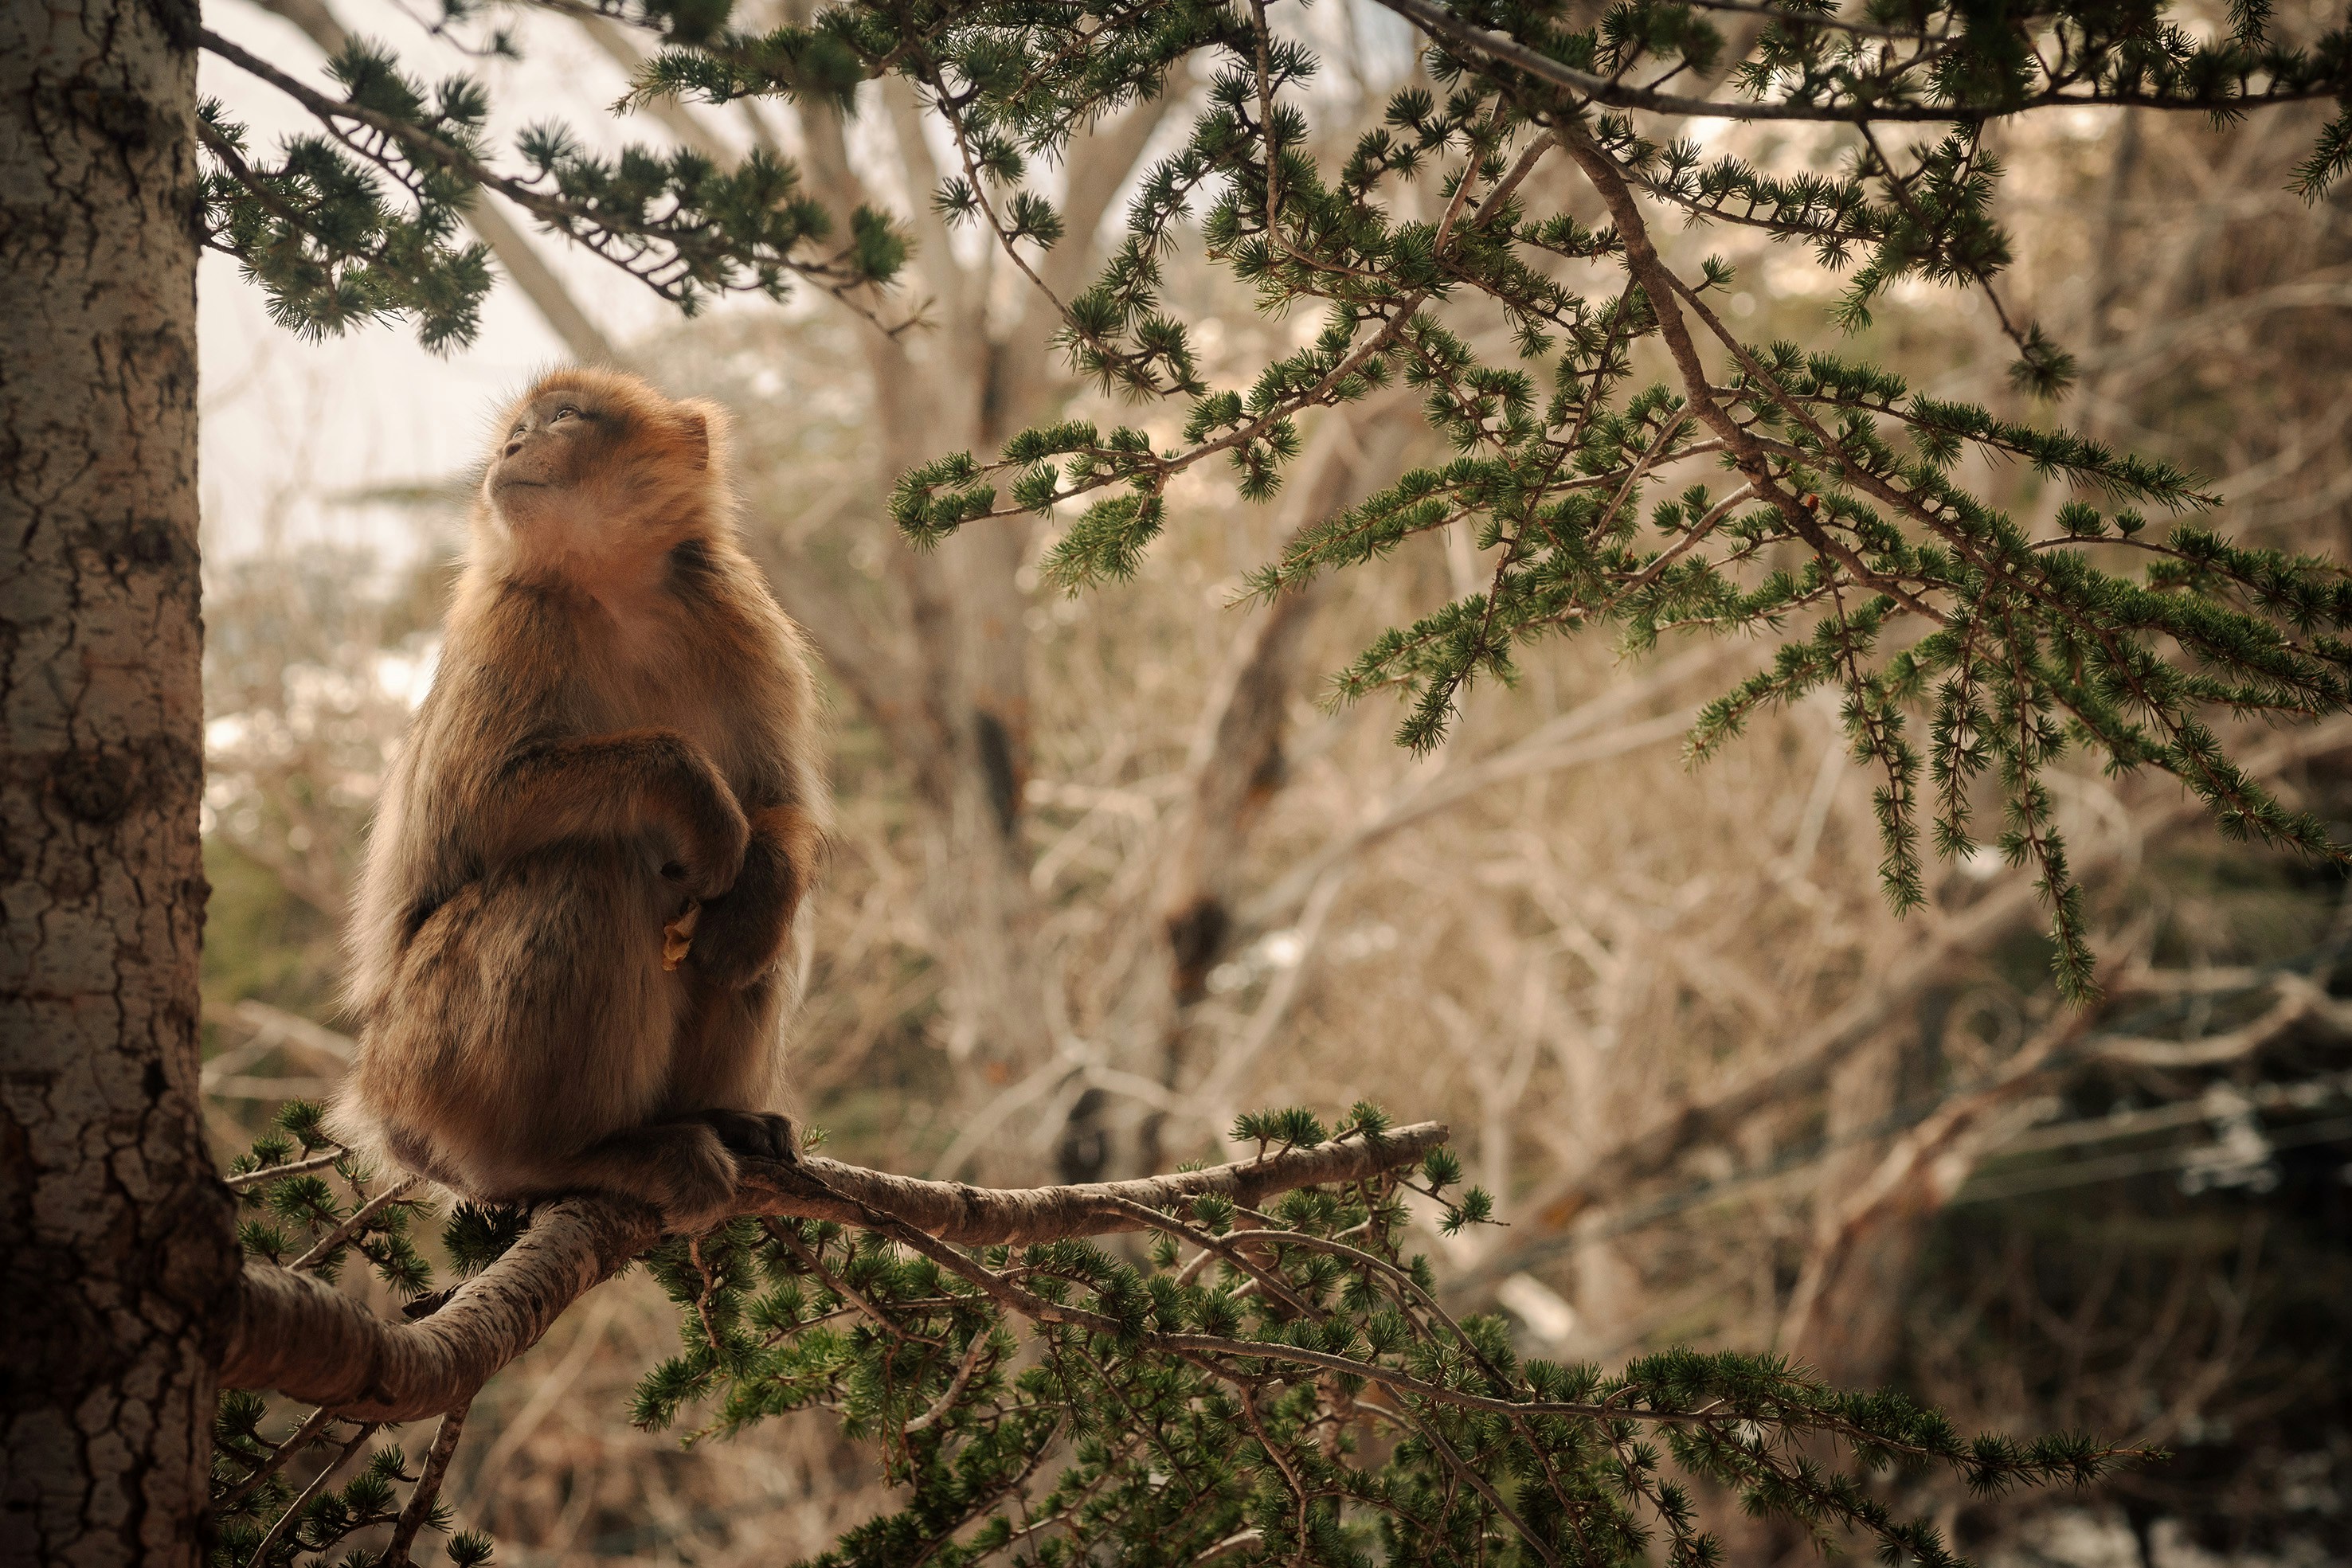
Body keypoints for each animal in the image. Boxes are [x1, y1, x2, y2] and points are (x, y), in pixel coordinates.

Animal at [338, 368, 828, 1230]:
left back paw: (718, 1108)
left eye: (561, 418)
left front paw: (756, 887)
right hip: (427, 1056)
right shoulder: (511, 621)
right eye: (518, 428)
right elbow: (479, 801)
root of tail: (387, 1112)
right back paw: (577, 1153)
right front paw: (693, 794)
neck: (615, 588)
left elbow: (782, 801)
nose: (509, 448)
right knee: (588, 868)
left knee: (760, 927)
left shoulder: (741, 616)